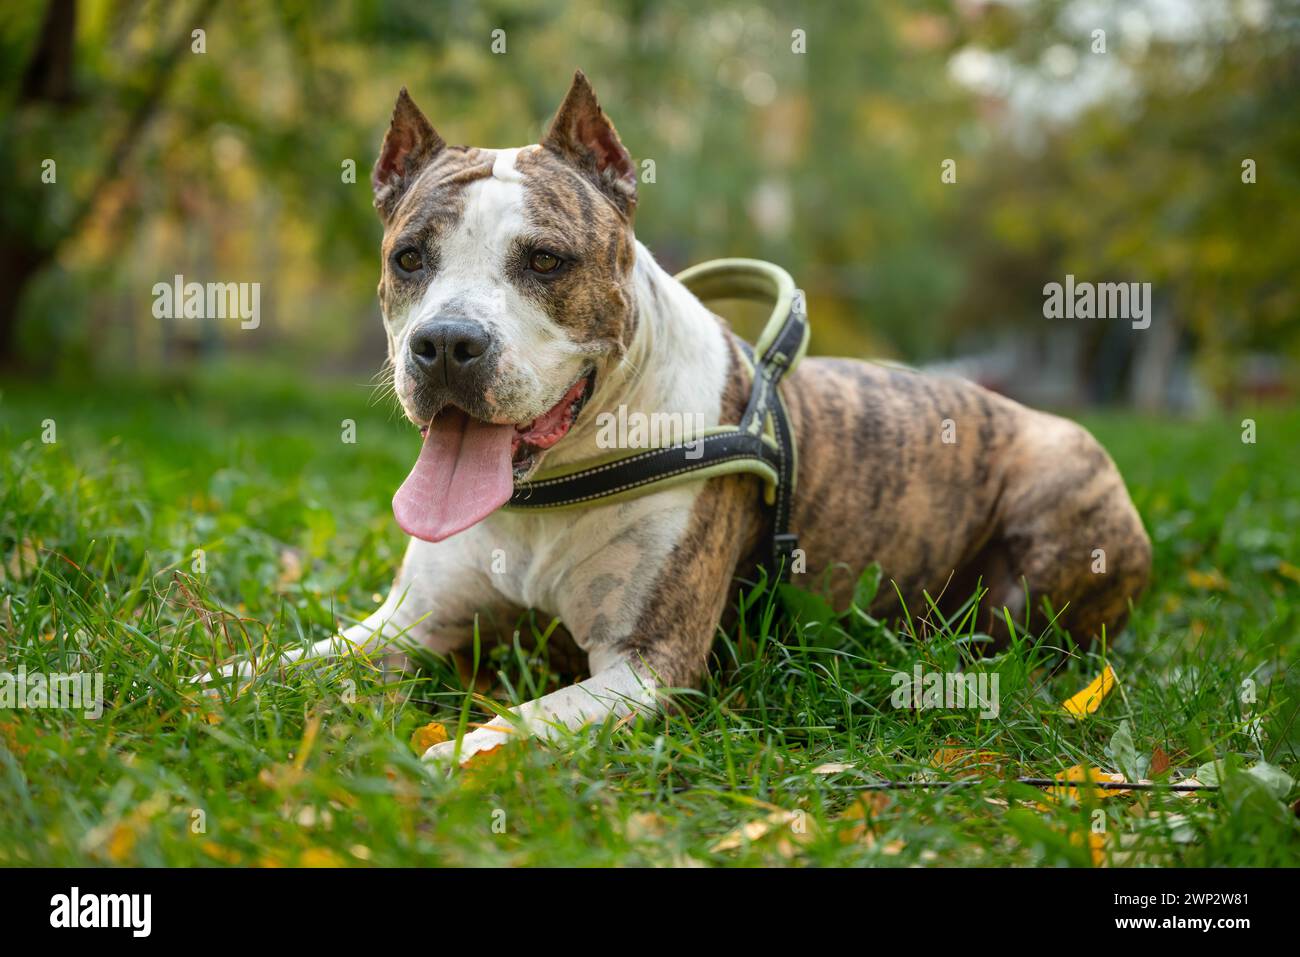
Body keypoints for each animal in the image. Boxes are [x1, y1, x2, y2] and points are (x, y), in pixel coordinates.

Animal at [197, 70, 1154, 764]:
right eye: (408, 258)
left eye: (545, 260)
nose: (445, 343)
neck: (550, 486)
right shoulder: (406, 624)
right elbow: (289, 662)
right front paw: (205, 689)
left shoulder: (645, 666)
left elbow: (514, 724)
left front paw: (439, 764)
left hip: (1062, 483)